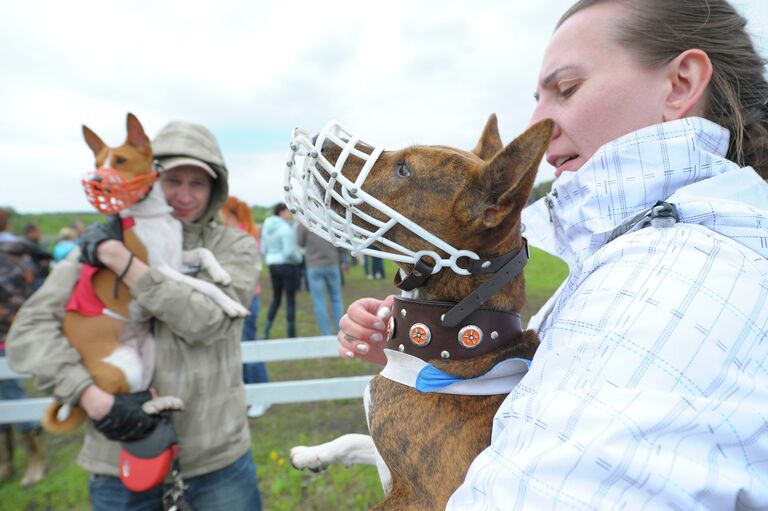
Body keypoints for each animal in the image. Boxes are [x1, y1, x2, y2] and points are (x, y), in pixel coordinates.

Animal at [292, 116, 548, 511]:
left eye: (404, 169)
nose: (320, 137)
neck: (452, 340)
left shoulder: (422, 496)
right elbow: (353, 439)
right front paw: (311, 454)